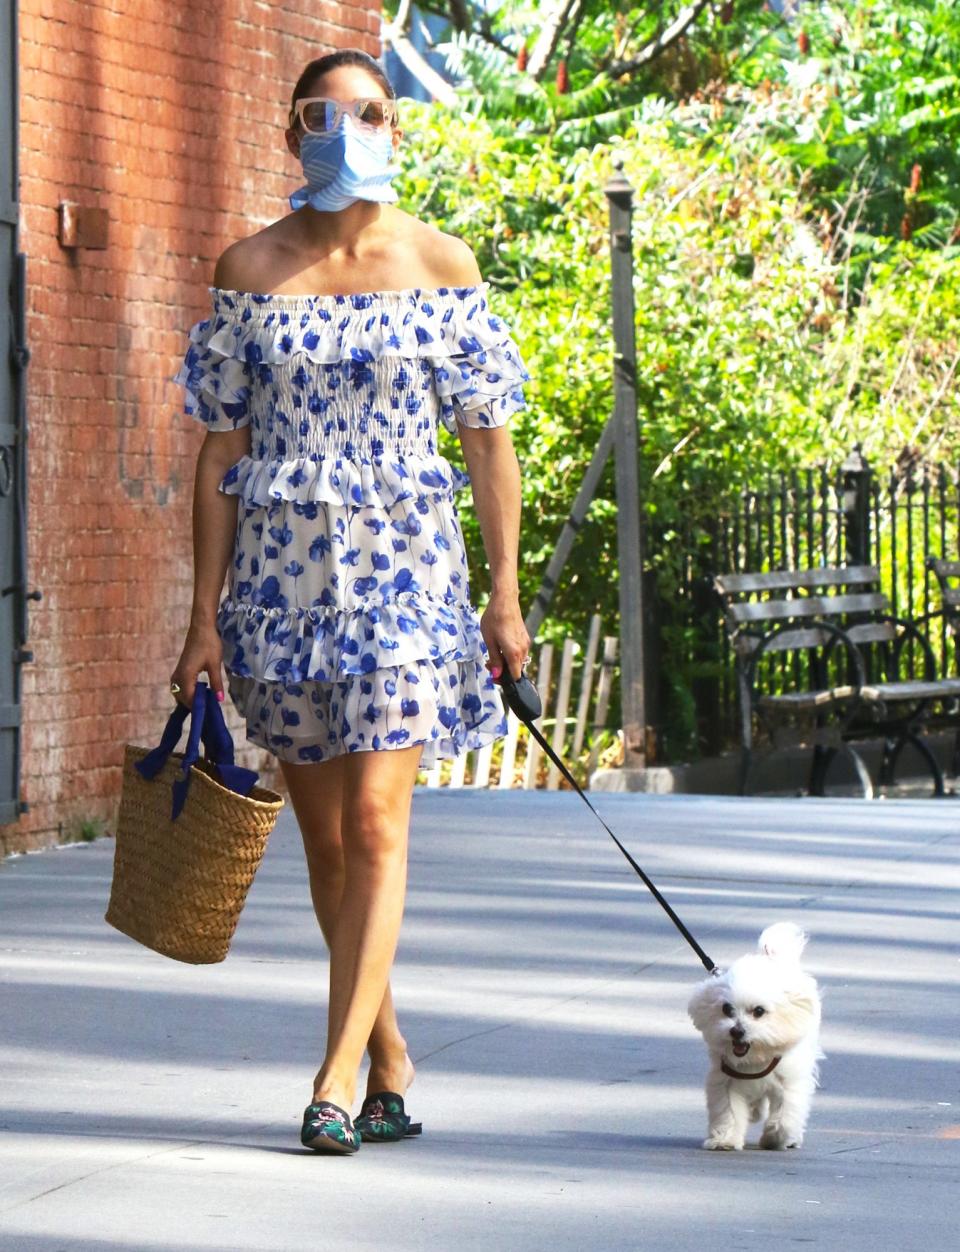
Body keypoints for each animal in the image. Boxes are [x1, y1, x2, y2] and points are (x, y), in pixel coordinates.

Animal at [685, 926, 821, 1146]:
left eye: (759, 1011)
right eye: (727, 1009)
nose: (736, 1031)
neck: (756, 1058)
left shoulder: (788, 1081)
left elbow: (785, 1113)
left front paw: (776, 1138)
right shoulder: (726, 1081)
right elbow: (729, 1112)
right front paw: (725, 1139)